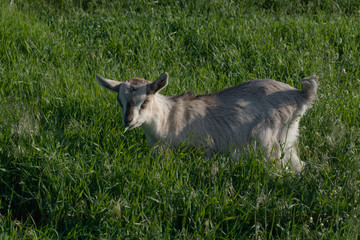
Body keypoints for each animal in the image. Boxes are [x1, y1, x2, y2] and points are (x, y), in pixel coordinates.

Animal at [96, 72, 318, 172]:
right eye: (120, 101)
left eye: (145, 101)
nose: (128, 121)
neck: (170, 117)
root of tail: (300, 95)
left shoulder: (204, 148)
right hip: (287, 139)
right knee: (298, 164)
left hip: (269, 141)